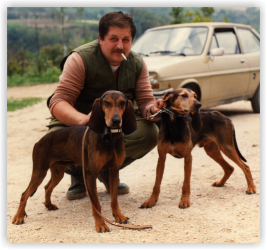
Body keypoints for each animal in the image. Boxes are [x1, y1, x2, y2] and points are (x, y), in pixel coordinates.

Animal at [12, 91, 138, 233]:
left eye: (122, 103)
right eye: (106, 103)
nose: (116, 121)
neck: (110, 137)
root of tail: (39, 141)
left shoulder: (114, 171)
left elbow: (114, 199)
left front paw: (118, 216)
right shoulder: (90, 175)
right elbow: (96, 205)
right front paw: (100, 224)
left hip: (57, 172)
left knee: (47, 187)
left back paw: (48, 205)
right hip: (39, 172)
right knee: (24, 194)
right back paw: (19, 217)